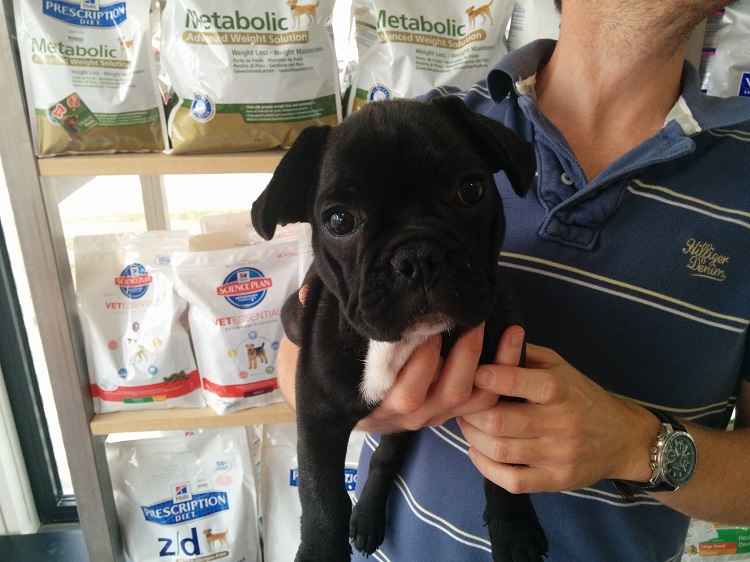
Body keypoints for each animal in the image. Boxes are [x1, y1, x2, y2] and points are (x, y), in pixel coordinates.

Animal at [251, 96, 547, 562]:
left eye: (472, 190)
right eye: (339, 221)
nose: (417, 255)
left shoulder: (507, 382)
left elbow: (507, 467)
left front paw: (515, 533)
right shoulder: (317, 418)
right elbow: (322, 498)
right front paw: (320, 549)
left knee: (386, 458)